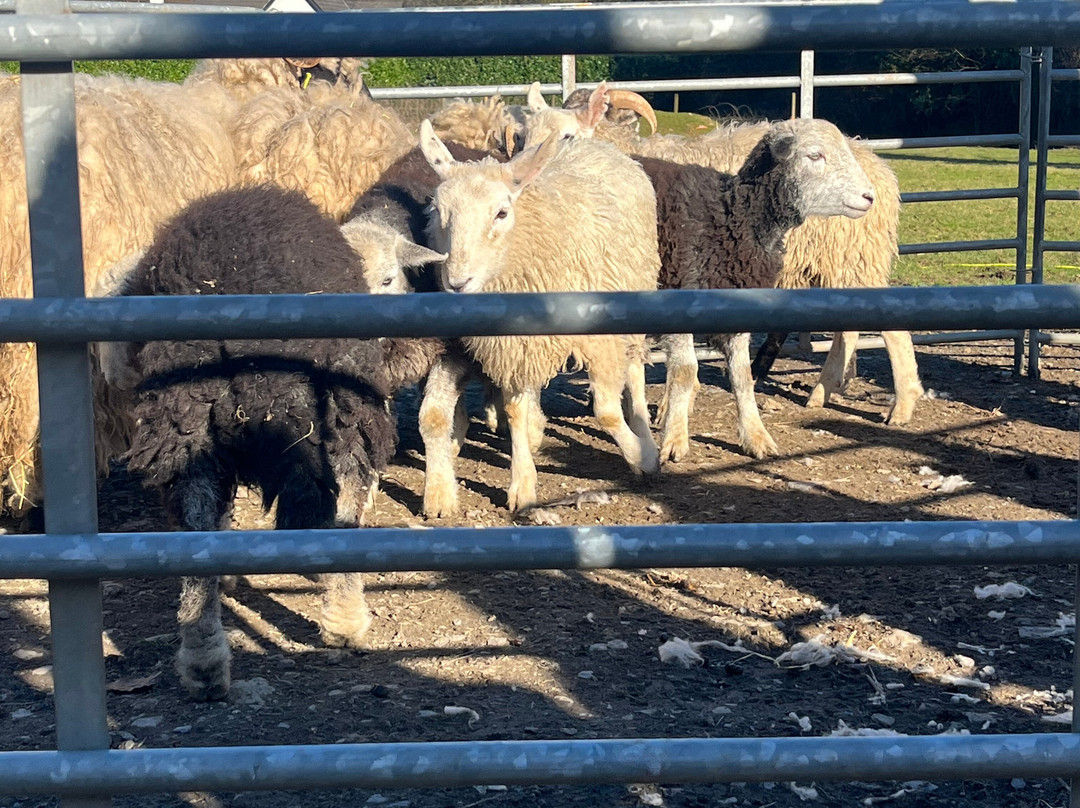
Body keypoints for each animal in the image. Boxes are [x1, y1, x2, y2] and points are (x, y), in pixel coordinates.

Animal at [112, 185, 444, 700]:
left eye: (391, 278)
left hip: (183, 420)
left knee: (194, 520)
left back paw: (203, 659)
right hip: (341, 408)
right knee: (347, 498)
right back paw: (345, 623)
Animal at [418, 120, 661, 513]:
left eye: (501, 212)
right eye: (439, 212)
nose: (456, 282)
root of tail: (592, 144)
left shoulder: (601, 337)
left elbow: (607, 411)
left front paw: (643, 458)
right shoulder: (514, 346)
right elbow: (515, 410)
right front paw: (523, 484)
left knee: (636, 371)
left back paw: (642, 431)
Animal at [526, 85, 923, 426]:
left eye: (571, 134)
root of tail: (881, 172)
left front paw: (668, 410)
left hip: (856, 256)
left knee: (892, 330)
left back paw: (901, 406)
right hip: (839, 262)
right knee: (848, 329)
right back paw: (824, 390)